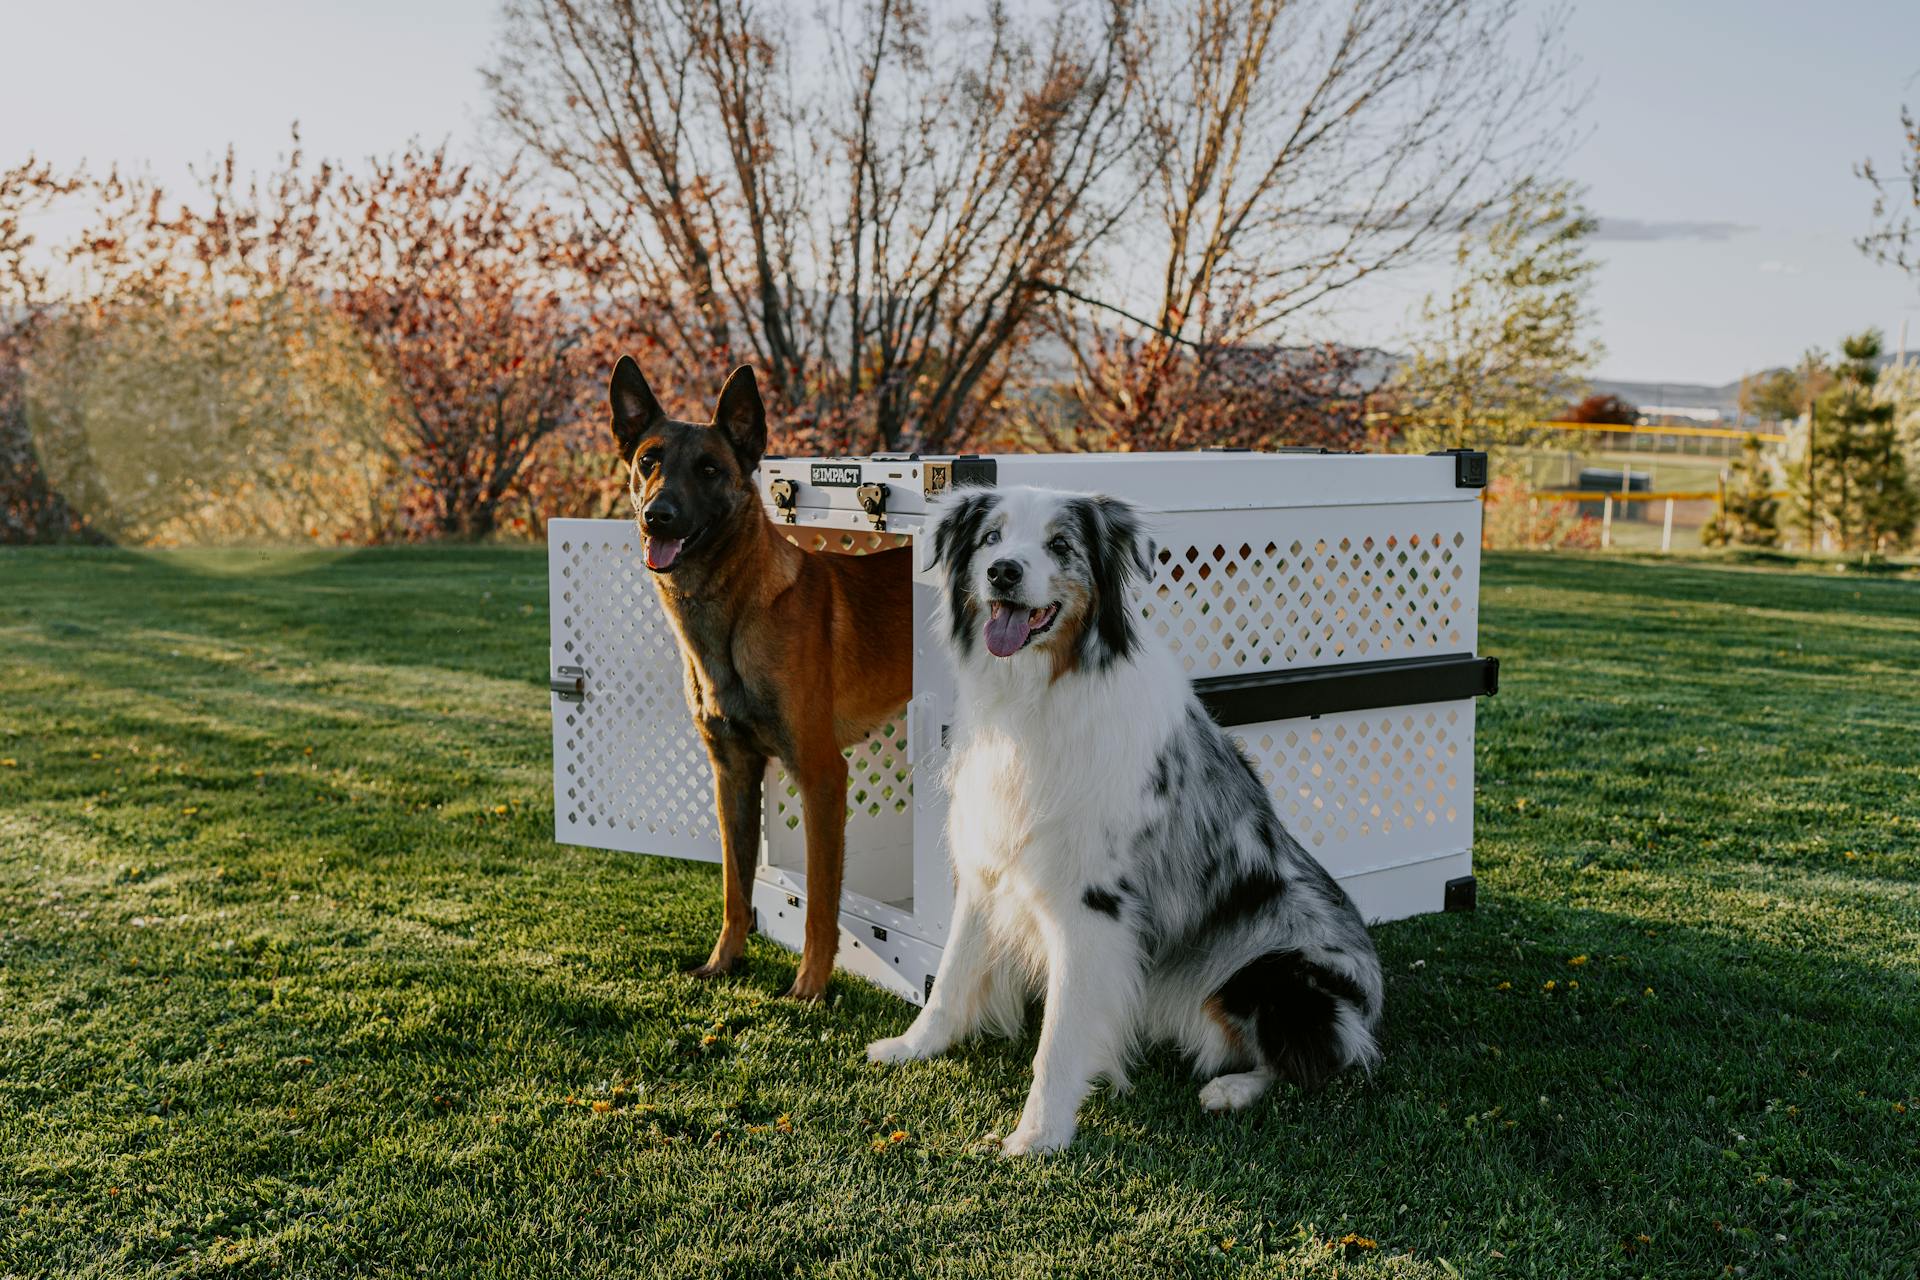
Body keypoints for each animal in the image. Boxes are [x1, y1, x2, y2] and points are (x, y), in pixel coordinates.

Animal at [614, 353, 913, 997]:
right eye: (649, 461)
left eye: (709, 469)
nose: (657, 518)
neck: (733, 616)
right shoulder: (733, 775)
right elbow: (735, 888)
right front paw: (724, 962)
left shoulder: (822, 776)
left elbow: (822, 902)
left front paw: (810, 989)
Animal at [867, 485, 1382, 1159]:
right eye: (990, 539)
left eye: (1061, 544)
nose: (1003, 572)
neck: (1038, 694)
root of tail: (1374, 1000)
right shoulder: (989, 865)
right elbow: (951, 975)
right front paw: (912, 1046)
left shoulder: (1093, 906)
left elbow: (1059, 1038)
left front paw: (1038, 1135)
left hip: (1277, 974)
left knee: (1316, 1061)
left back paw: (1231, 1089)